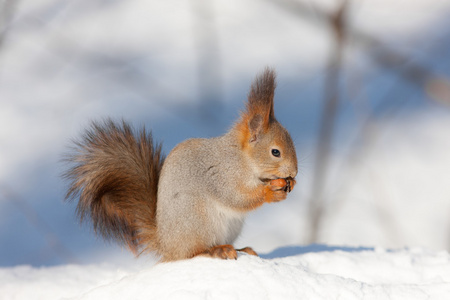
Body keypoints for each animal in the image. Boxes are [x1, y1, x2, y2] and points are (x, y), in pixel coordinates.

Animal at [62, 67, 296, 260]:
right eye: (275, 152)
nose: (294, 172)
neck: (241, 159)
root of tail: (166, 245)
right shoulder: (221, 175)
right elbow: (236, 198)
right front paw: (270, 192)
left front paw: (290, 185)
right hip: (198, 221)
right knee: (192, 252)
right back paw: (217, 250)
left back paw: (241, 248)